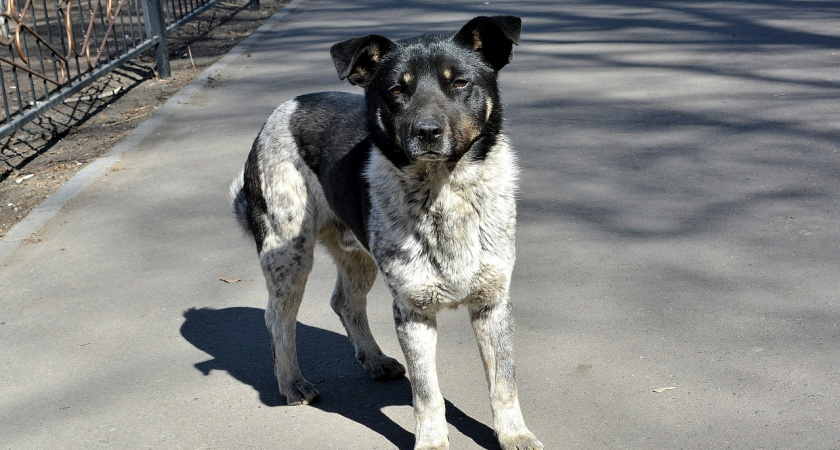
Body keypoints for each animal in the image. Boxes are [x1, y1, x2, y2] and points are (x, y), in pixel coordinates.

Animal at [230, 15, 544, 448]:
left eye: (460, 83)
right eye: (397, 89)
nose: (426, 132)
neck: (443, 193)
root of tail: (282, 110)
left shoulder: (492, 303)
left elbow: (504, 383)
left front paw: (514, 435)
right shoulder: (413, 311)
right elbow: (427, 394)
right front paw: (432, 443)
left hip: (357, 254)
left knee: (344, 302)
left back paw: (375, 360)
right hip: (289, 256)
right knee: (278, 319)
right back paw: (292, 383)